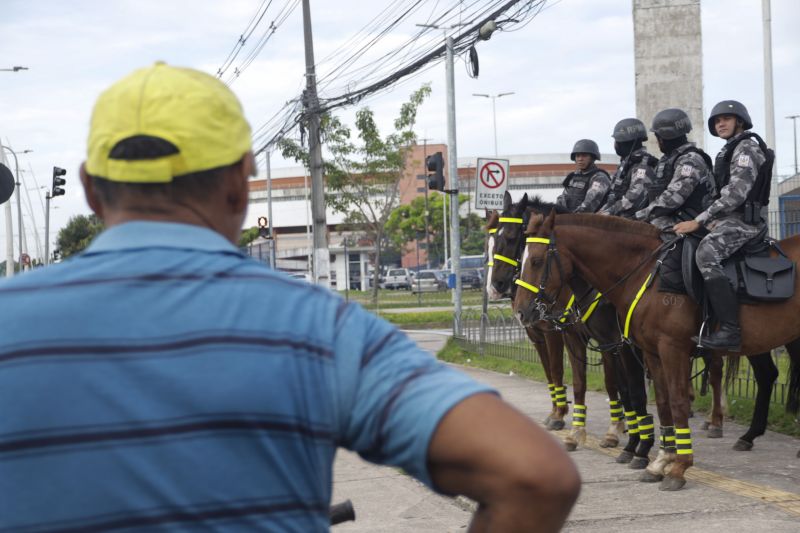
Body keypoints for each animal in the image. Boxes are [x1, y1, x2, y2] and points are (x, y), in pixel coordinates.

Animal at [512, 206, 800, 488]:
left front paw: (676, 466)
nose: (521, 311)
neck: (645, 274)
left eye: (536, 261)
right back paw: (750, 436)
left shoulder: (664, 348)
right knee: (766, 375)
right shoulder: (648, 351)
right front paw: (661, 460)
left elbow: (671, 400)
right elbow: (659, 402)